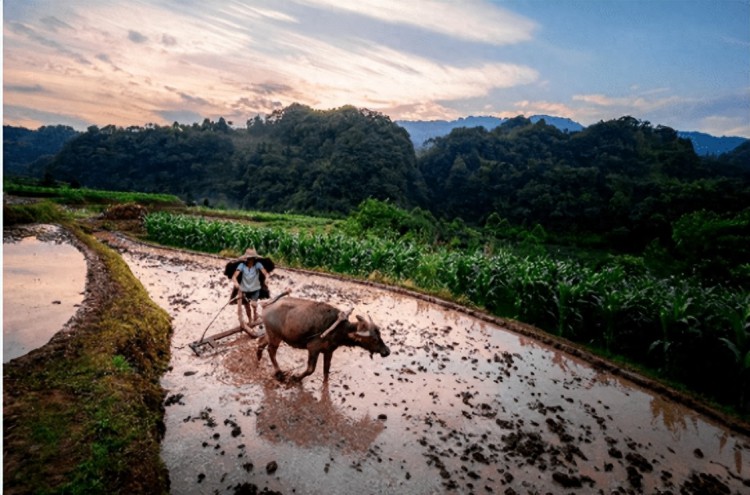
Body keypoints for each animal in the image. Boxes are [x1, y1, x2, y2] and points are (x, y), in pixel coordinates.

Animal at [258, 298, 390, 384]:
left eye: (379, 334)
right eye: (374, 339)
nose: (387, 351)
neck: (339, 329)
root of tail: (266, 306)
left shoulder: (329, 351)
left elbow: (326, 370)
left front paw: (326, 384)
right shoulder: (313, 348)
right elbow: (310, 370)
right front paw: (295, 378)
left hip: (270, 333)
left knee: (261, 341)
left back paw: (258, 357)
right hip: (275, 336)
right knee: (271, 351)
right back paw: (279, 373)